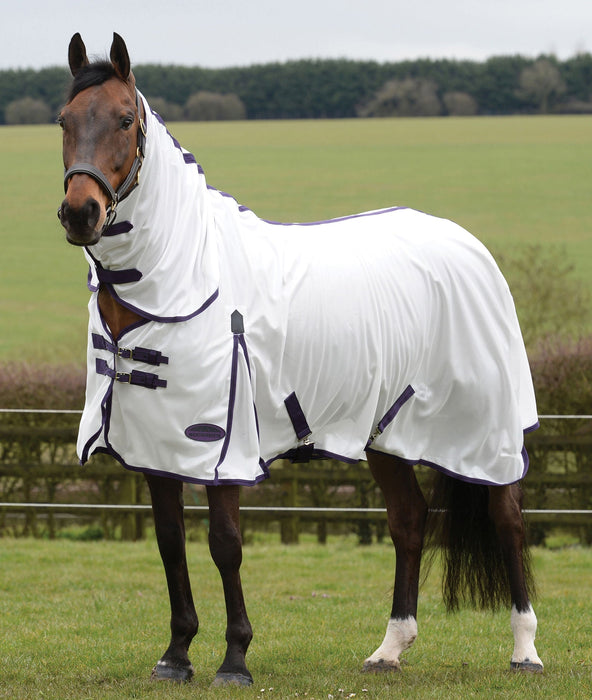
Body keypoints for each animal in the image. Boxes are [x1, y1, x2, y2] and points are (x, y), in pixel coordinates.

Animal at [57, 32, 543, 686]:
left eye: (125, 119)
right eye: (64, 120)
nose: (80, 212)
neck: (187, 274)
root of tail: (468, 247)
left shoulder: (224, 448)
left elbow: (225, 542)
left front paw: (235, 658)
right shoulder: (153, 447)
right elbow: (169, 542)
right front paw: (176, 654)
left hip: (487, 430)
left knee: (507, 520)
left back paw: (525, 650)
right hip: (384, 432)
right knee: (409, 520)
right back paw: (389, 650)